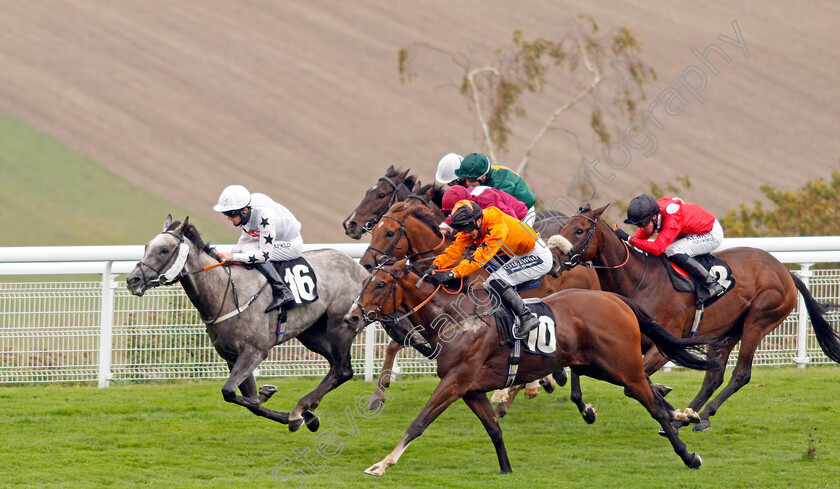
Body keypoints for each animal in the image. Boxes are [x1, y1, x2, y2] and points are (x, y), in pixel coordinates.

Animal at [126, 215, 370, 428]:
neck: (224, 294)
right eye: (147, 247)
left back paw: (302, 407)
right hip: (312, 333)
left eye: (164, 250)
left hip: (341, 324)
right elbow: (249, 401)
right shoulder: (232, 356)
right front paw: (289, 415)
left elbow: (230, 392)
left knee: (343, 371)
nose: (132, 280)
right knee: (336, 366)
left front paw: (273, 397)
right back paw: (306, 409)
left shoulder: (255, 351)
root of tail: (362, 270)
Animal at [342, 260, 720, 472]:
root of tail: (614, 298)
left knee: (651, 404)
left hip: (622, 365)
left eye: (379, 284)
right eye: (364, 283)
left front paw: (383, 464)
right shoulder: (471, 389)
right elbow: (494, 430)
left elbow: (419, 422)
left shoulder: (455, 381)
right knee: (649, 395)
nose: (351, 317)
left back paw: (688, 455)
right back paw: (685, 415)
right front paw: (507, 470)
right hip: (599, 365)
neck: (457, 319)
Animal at [548, 202, 840, 430]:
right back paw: (690, 416)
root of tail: (785, 271)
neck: (639, 280)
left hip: (757, 322)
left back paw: (701, 414)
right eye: (561, 229)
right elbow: (582, 373)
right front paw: (587, 409)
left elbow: (634, 384)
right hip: (724, 332)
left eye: (579, 230)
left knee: (740, 374)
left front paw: (667, 403)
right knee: (714, 376)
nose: (553, 263)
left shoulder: (662, 347)